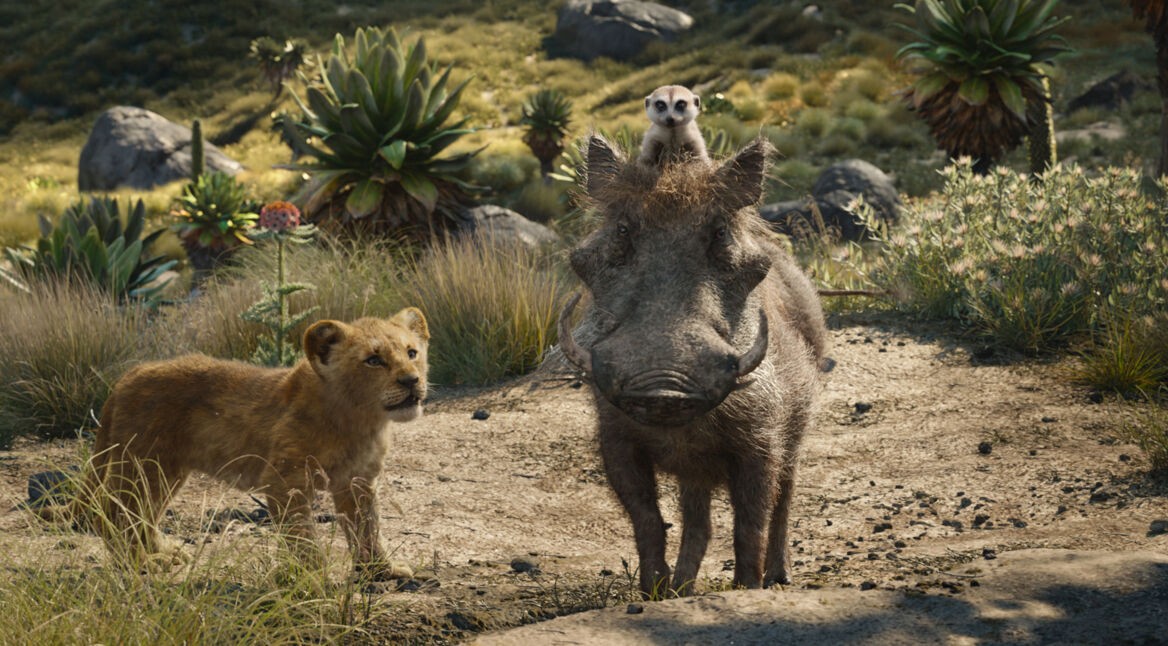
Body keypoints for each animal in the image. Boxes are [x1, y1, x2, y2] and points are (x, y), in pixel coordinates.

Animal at [65, 307, 429, 579]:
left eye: (412, 353)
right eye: (373, 360)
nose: (412, 380)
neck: (360, 420)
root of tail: (127, 376)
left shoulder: (358, 482)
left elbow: (367, 527)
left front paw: (380, 570)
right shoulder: (285, 480)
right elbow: (301, 536)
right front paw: (312, 579)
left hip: (164, 470)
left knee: (143, 513)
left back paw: (163, 551)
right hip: (143, 464)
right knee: (113, 512)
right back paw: (143, 563)